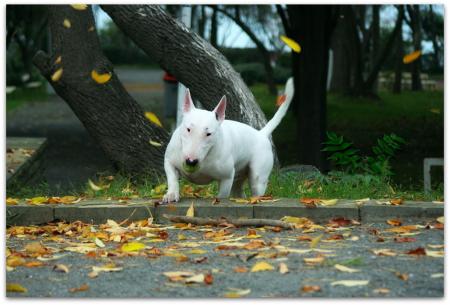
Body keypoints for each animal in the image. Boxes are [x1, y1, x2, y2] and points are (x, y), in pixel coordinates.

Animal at [163, 77, 294, 203]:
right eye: (188, 129)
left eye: (209, 134)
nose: (191, 162)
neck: (206, 156)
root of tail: (261, 133)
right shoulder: (169, 160)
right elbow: (172, 178)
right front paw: (171, 195)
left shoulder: (226, 178)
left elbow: (222, 195)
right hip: (240, 175)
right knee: (238, 190)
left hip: (258, 175)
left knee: (256, 188)